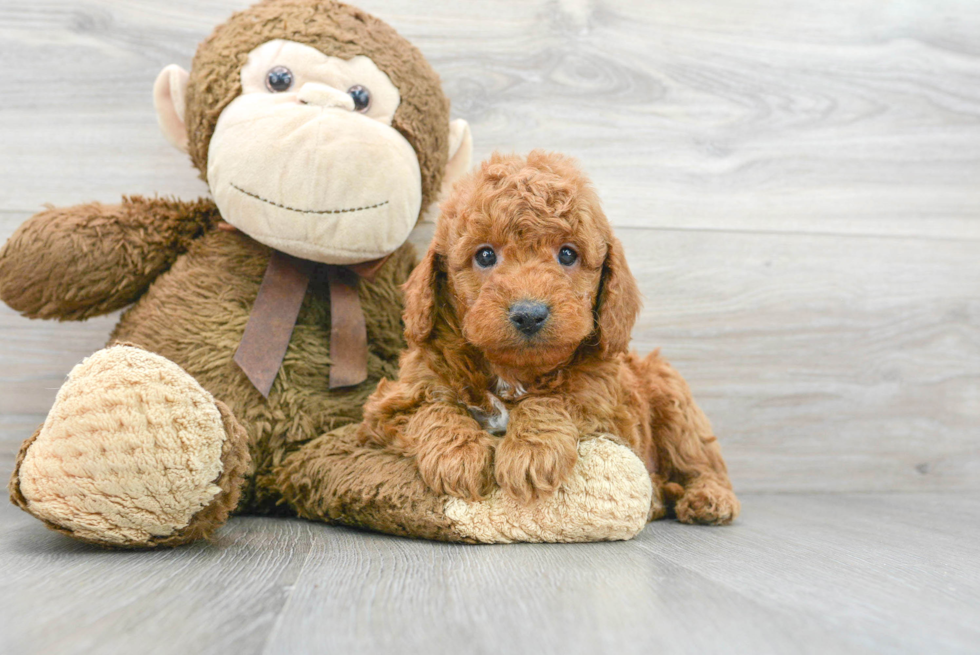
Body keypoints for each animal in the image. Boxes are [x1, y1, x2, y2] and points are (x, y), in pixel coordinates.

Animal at [356, 151, 740, 524]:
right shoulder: (392, 402)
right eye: (485, 255)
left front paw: (530, 452)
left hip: (671, 394)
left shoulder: (607, 408)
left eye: (567, 253)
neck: (512, 372)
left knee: (701, 461)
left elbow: (557, 398)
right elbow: (432, 408)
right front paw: (459, 455)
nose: (529, 314)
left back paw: (709, 498)